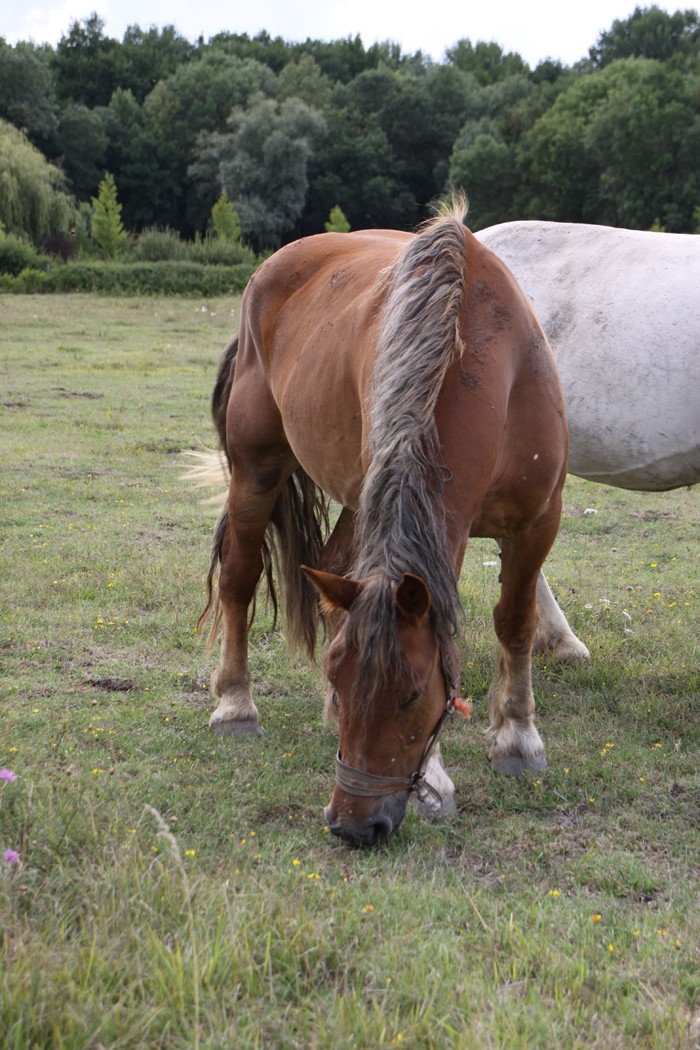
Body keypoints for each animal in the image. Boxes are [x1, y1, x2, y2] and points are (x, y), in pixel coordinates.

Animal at [194, 200, 566, 848]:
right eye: (341, 681)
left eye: (413, 695)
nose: (352, 824)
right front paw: (438, 777)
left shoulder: (538, 523)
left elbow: (516, 623)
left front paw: (518, 739)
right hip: (256, 470)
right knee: (240, 577)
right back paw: (235, 704)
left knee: (328, 575)